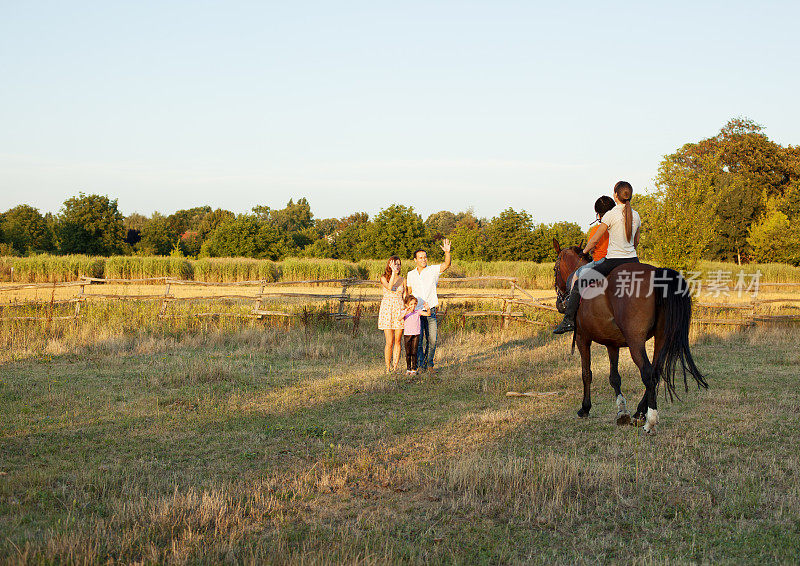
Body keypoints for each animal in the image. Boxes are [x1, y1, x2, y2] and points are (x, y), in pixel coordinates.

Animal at [552, 241, 704, 434]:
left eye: (555, 269)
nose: (560, 303)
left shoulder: (581, 338)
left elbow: (586, 373)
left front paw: (585, 408)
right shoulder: (612, 343)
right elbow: (614, 377)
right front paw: (622, 411)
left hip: (635, 340)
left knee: (648, 373)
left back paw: (650, 421)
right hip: (661, 337)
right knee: (656, 371)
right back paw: (639, 413)